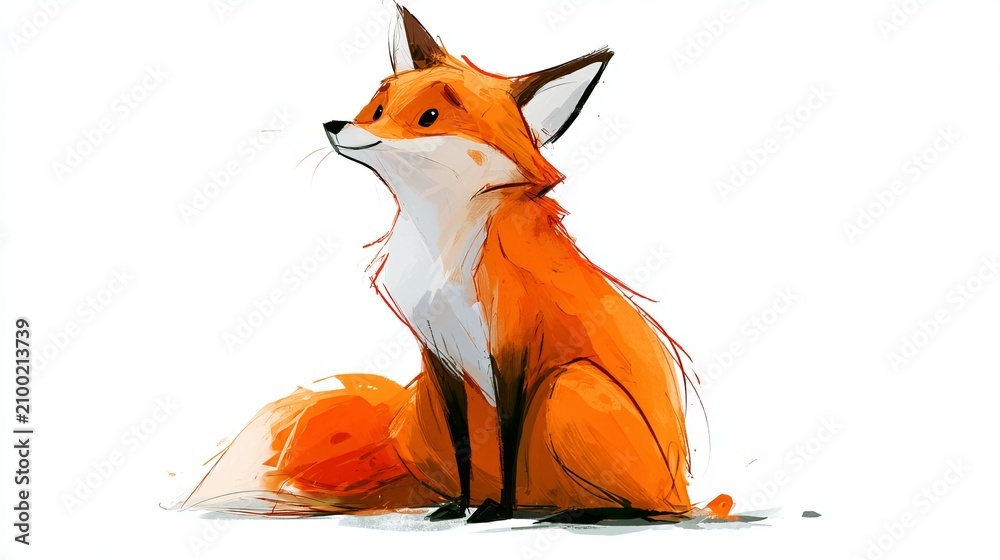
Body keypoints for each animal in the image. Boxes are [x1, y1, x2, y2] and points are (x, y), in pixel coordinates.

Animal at [177, 4, 732, 523]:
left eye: (429, 118)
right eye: (377, 108)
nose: (336, 125)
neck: (439, 255)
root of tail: (682, 491)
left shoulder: (512, 349)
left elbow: (508, 440)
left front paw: (498, 511)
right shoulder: (438, 354)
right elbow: (464, 444)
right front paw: (461, 506)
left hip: (569, 388)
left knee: (645, 508)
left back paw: (579, 511)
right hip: (433, 418)